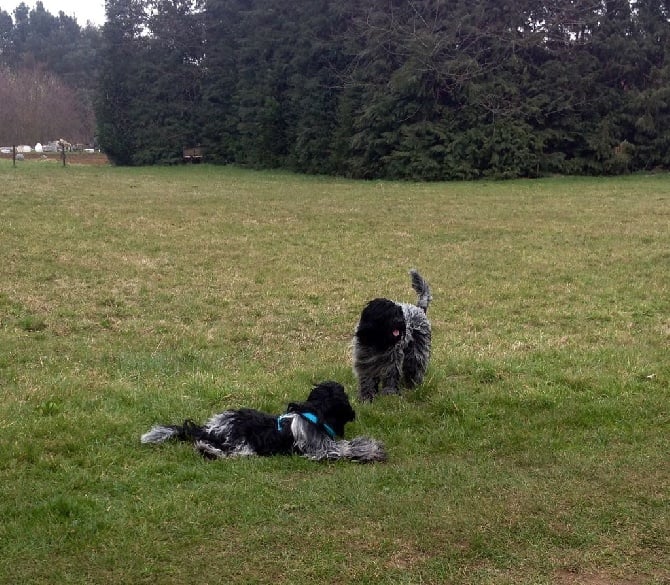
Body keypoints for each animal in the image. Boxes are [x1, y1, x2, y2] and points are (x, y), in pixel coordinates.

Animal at [140, 380, 388, 464]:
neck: (314, 414)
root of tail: (209, 428)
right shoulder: (322, 449)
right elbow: (348, 448)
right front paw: (372, 449)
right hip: (242, 444)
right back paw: (209, 452)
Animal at [354, 270, 434, 402]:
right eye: (387, 314)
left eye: (399, 312)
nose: (400, 322)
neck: (378, 341)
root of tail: (419, 309)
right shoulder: (366, 361)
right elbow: (367, 380)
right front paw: (367, 397)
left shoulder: (392, 362)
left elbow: (390, 378)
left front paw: (389, 395)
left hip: (416, 353)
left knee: (415, 368)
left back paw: (413, 385)